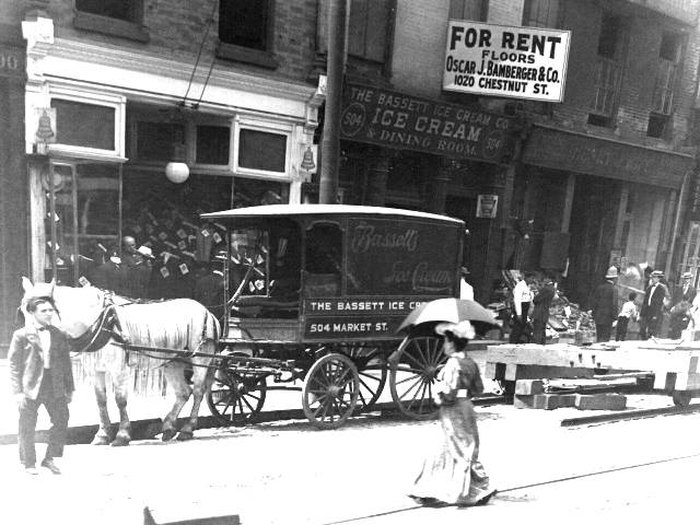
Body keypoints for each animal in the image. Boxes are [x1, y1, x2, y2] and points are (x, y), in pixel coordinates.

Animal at [19, 276, 221, 444]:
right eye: (23, 310)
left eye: (43, 310)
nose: (27, 341)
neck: (101, 322)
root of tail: (208, 312)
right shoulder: (95, 370)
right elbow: (100, 400)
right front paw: (102, 435)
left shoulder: (118, 368)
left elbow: (120, 399)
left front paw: (122, 435)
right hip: (173, 362)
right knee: (183, 392)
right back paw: (169, 427)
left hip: (200, 358)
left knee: (198, 391)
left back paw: (187, 429)